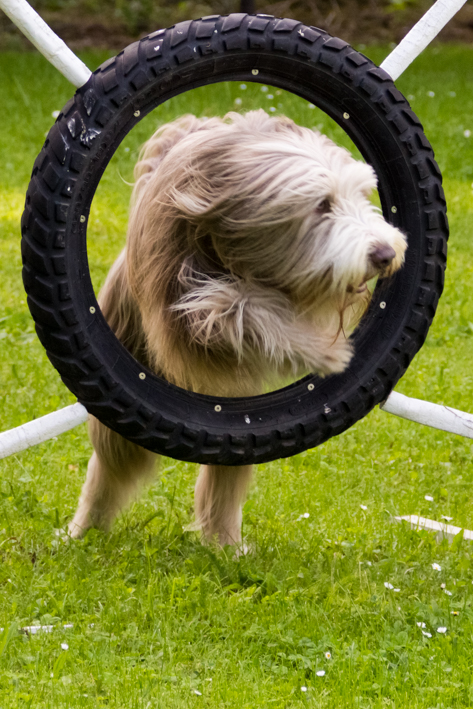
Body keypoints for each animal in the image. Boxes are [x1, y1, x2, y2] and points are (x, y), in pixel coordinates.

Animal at [68, 109, 408, 544]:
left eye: (363, 195)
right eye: (321, 205)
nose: (384, 254)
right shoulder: (181, 301)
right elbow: (238, 307)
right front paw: (326, 352)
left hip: (237, 431)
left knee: (226, 474)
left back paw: (224, 543)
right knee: (111, 465)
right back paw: (83, 531)